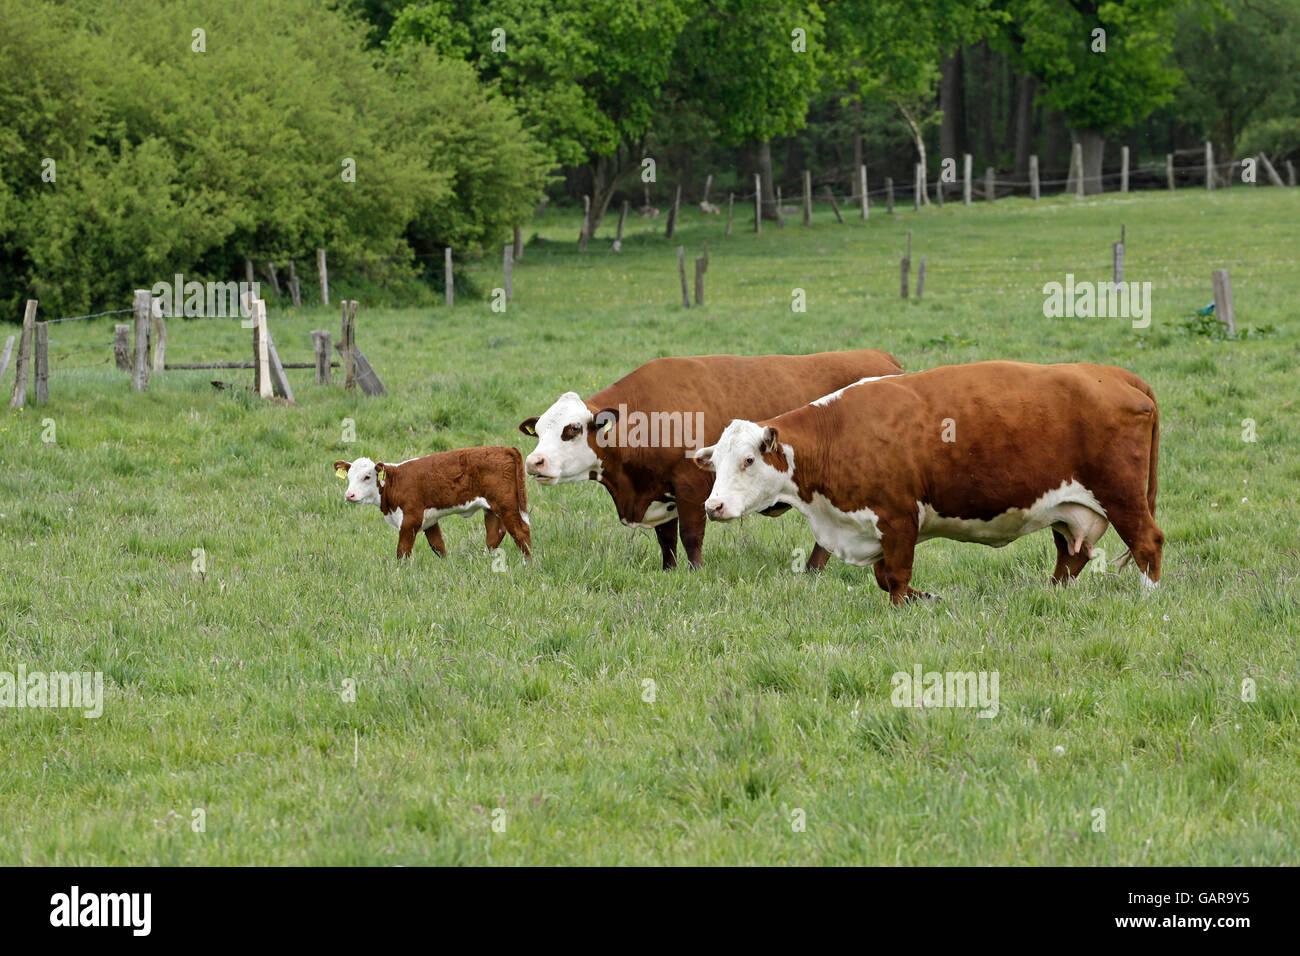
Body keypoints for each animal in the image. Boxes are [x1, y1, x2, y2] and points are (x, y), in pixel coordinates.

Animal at [334, 448, 531, 560]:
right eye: (349, 477)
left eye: (367, 476)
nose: (349, 495)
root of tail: (503, 448)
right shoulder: (430, 520)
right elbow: (438, 546)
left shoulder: (410, 519)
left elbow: (402, 552)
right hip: (492, 509)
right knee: (495, 533)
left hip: (507, 504)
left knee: (520, 531)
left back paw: (528, 563)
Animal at [518, 349, 903, 570]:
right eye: (540, 431)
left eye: (571, 429)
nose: (534, 462)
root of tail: (883, 359)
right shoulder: (662, 492)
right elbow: (667, 539)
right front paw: (669, 572)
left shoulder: (691, 485)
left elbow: (690, 535)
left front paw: (696, 573)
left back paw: (813, 570)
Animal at [692, 361, 1162, 604]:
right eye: (715, 464)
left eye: (748, 459)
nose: (713, 507)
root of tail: (1113, 374)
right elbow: (884, 576)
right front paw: (926, 598)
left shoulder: (898, 518)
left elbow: (895, 578)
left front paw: (907, 606)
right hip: (1068, 508)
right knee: (1071, 556)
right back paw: (1052, 596)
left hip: (1121, 495)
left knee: (1147, 543)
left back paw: (1149, 597)